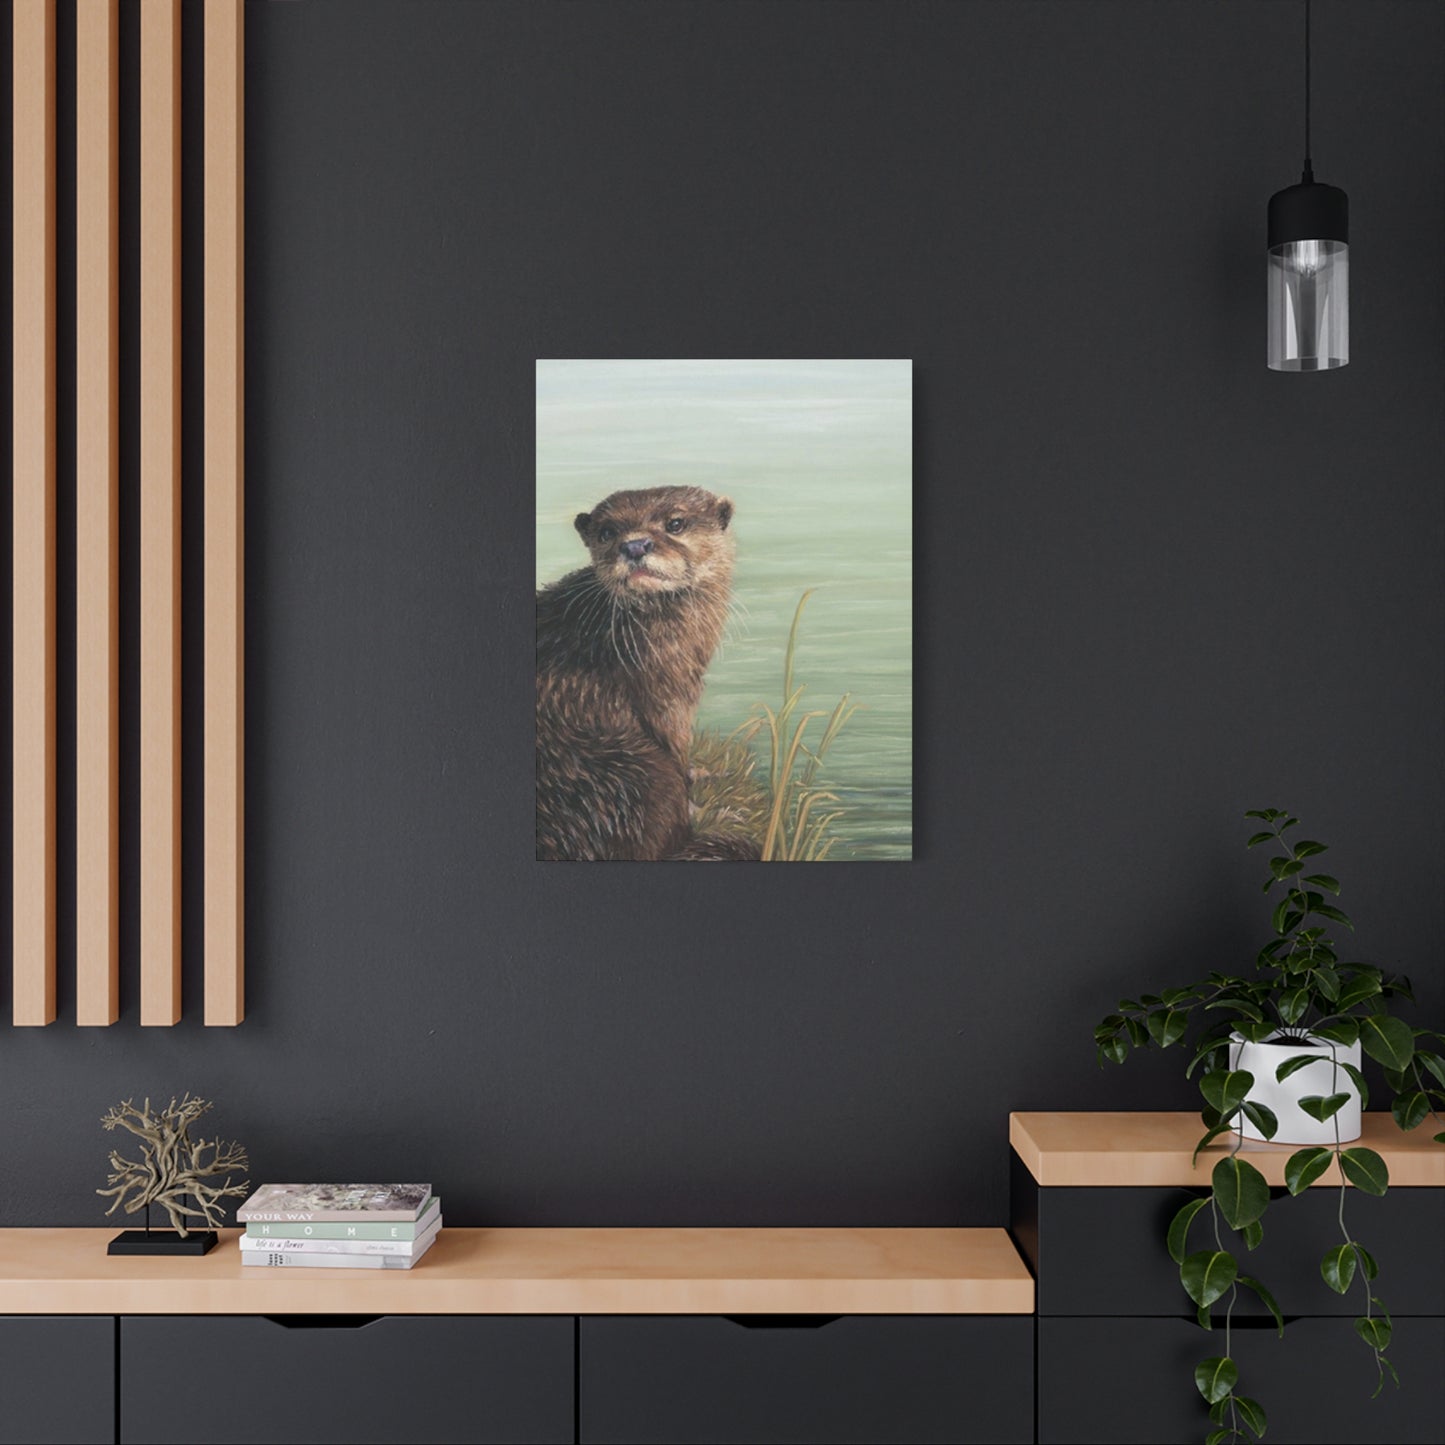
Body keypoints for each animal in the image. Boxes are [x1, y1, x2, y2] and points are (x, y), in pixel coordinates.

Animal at [536, 485, 759, 861]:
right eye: (607, 532)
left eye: (675, 523)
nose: (635, 545)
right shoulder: (664, 691)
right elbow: (673, 744)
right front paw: (699, 802)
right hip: (641, 775)